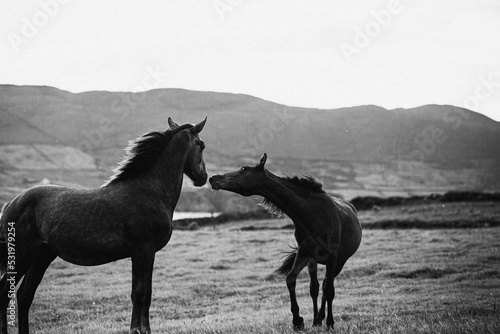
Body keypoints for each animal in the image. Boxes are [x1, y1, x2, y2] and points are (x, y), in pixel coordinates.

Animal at [0, 117, 207, 334]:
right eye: (201, 145)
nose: (203, 178)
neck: (151, 190)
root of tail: (10, 204)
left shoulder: (149, 254)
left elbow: (147, 294)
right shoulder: (142, 252)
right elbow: (138, 293)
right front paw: (136, 329)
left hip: (41, 257)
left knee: (24, 297)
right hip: (21, 257)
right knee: (5, 295)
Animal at [209, 155, 362, 330]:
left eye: (244, 169)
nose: (213, 178)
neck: (312, 214)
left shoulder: (332, 257)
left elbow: (329, 290)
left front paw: (330, 323)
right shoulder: (304, 253)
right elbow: (291, 279)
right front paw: (298, 321)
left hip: (339, 262)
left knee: (326, 286)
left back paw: (322, 318)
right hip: (313, 261)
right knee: (315, 287)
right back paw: (316, 320)